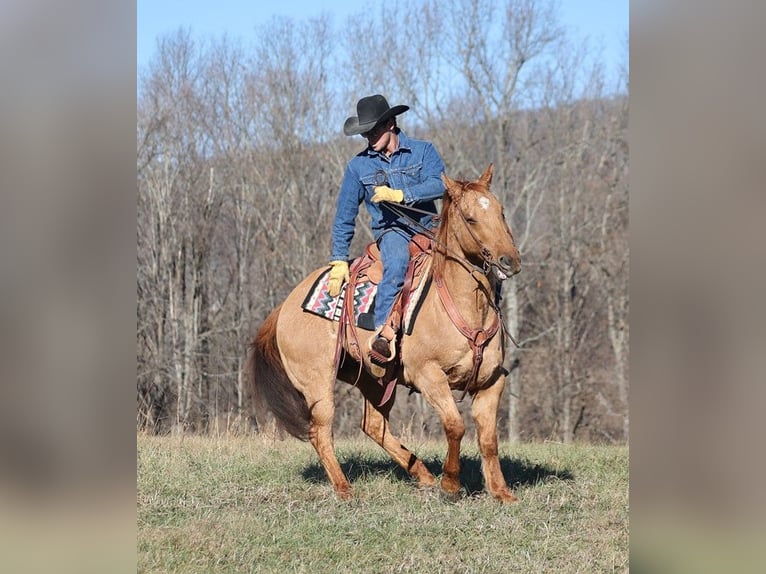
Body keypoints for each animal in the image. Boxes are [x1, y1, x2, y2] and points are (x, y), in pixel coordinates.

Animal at [249, 163, 524, 504]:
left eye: (501, 212)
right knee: (321, 432)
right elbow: (455, 425)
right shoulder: (428, 375)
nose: (509, 260)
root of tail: (285, 307)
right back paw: (345, 489)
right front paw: (451, 484)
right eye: (471, 218)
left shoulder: (491, 380)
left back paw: (423, 476)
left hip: (374, 379)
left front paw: (501, 492)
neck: (465, 303)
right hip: (317, 382)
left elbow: (488, 438)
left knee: (374, 425)